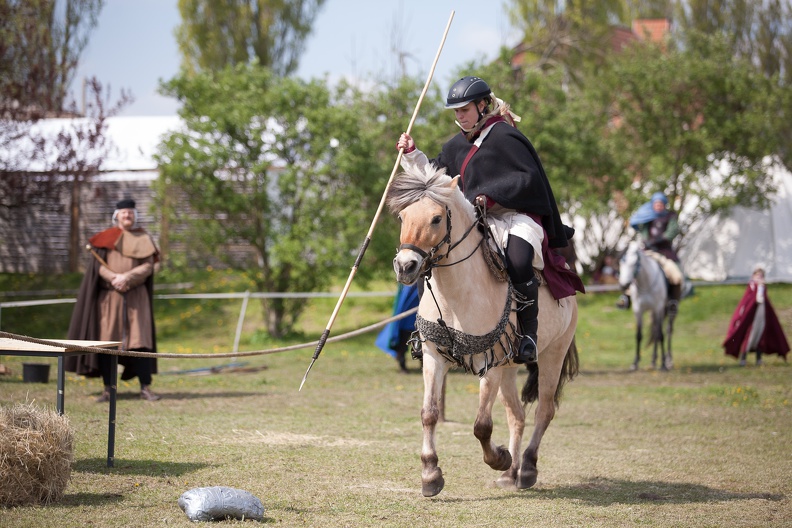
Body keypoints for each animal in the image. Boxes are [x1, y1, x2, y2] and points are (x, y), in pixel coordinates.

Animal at [388, 165, 580, 496]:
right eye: (402, 217)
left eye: (436, 218)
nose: (405, 266)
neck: (457, 294)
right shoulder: (434, 356)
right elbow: (429, 413)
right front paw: (430, 473)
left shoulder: (489, 361)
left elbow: (481, 425)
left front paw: (499, 458)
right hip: (510, 367)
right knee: (517, 415)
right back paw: (511, 474)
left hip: (552, 355)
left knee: (543, 410)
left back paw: (526, 468)